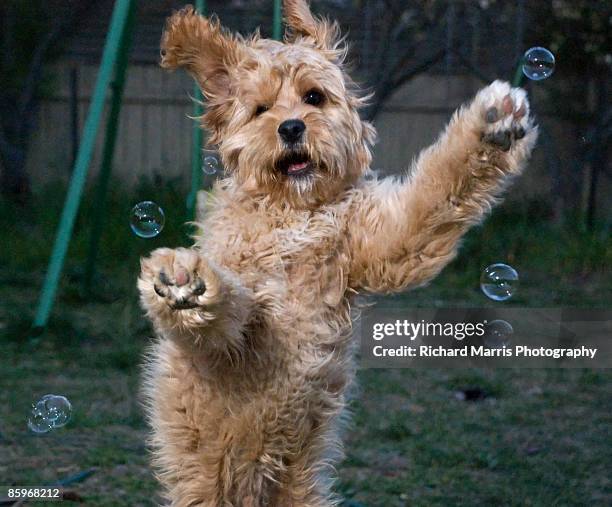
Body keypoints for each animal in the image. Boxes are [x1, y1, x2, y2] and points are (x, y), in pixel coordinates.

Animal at [137, 1, 536, 506]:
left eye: (313, 97)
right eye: (261, 110)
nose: (291, 127)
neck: (294, 215)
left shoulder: (384, 241)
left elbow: (435, 192)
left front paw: (493, 128)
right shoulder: (244, 313)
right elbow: (229, 313)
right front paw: (183, 285)